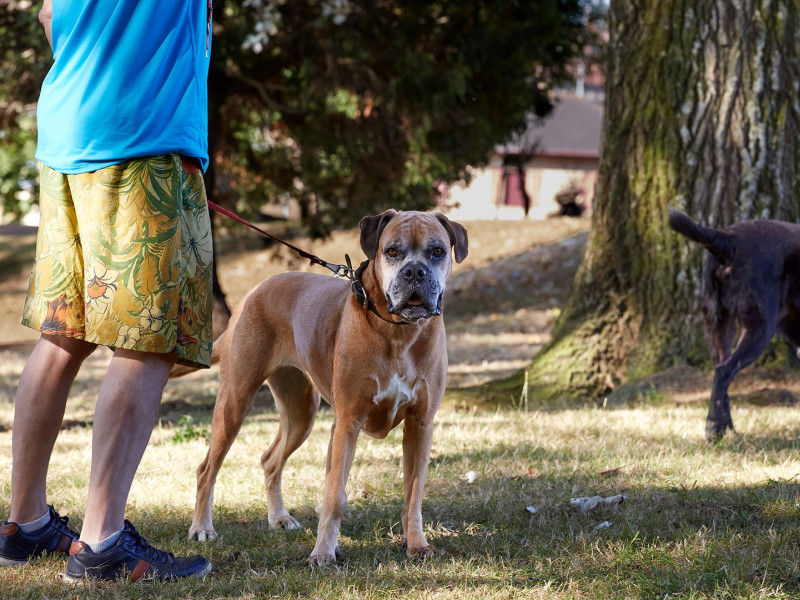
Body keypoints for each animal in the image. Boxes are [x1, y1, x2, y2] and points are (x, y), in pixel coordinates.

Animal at [173, 210, 462, 564]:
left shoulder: (421, 425)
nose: (415, 271)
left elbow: (414, 494)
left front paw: (417, 544)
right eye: (392, 251)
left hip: (300, 413)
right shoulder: (347, 423)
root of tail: (253, 293)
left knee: (270, 460)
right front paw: (323, 552)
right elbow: (335, 495)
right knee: (206, 470)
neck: (398, 332)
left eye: (437, 251)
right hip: (234, 403)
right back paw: (201, 528)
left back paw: (279, 518)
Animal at [664, 207, 800, 440]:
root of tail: (730, 239)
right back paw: (713, 427)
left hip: (718, 325)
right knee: (724, 372)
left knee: (720, 372)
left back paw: (724, 427)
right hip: (759, 328)